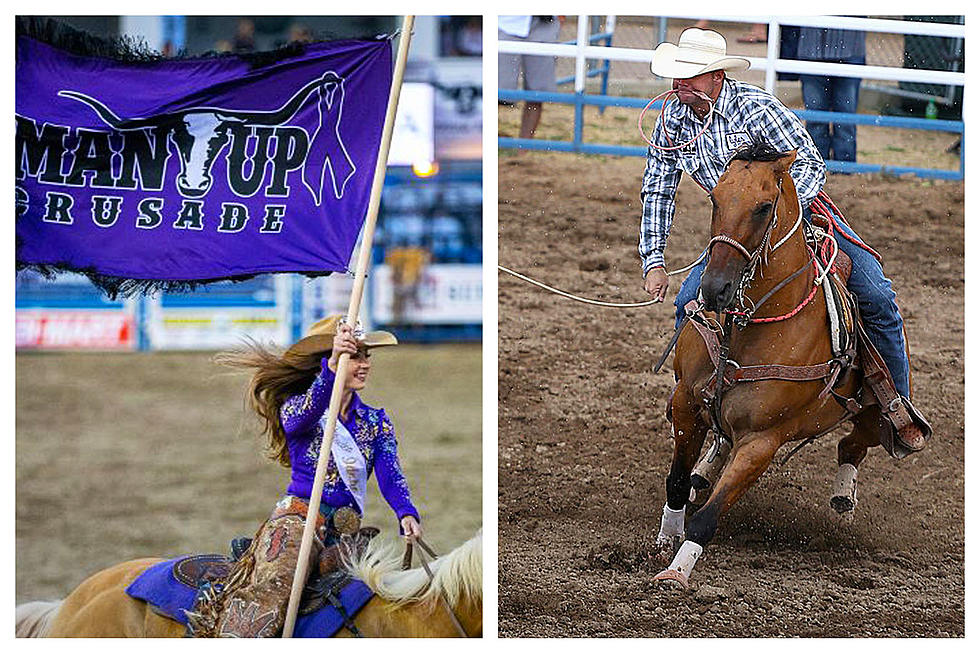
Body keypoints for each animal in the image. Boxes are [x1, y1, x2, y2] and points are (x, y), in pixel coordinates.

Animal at [652, 145, 904, 588]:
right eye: (715, 199)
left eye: (764, 207)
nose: (715, 289)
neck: (749, 327)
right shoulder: (685, 404)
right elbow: (677, 482)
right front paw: (666, 539)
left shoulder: (762, 441)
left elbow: (708, 518)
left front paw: (677, 573)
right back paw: (707, 466)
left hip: (873, 409)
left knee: (855, 442)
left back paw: (844, 494)